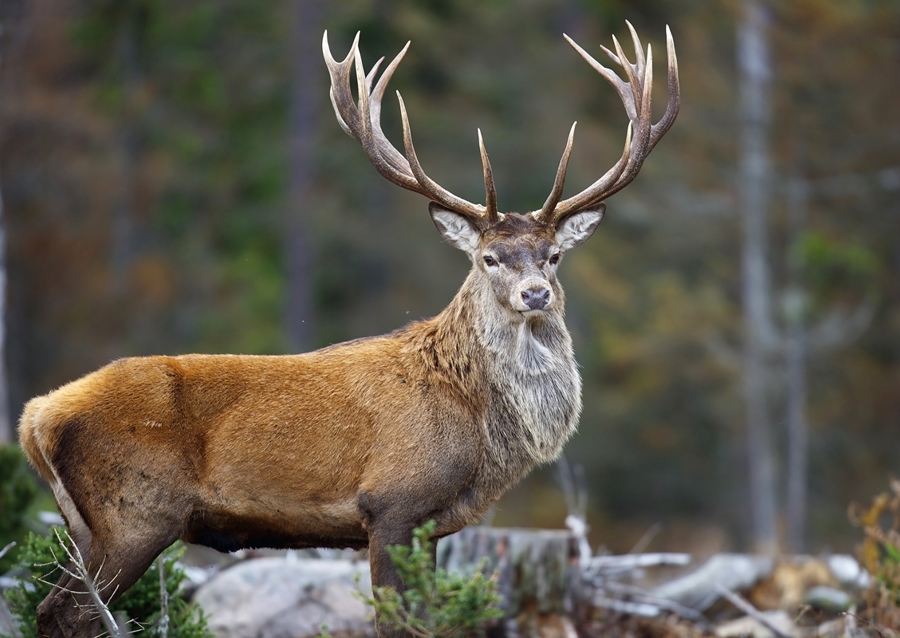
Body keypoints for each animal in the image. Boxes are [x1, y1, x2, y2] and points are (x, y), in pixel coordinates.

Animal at [18, 23, 678, 638]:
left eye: (553, 256)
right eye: (489, 258)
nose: (534, 293)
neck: (478, 424)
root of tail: (34, 419)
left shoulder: (430, 527)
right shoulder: (392, 504)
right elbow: (395, 623)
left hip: (89, 525)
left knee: (55, 609)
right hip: (133, 513)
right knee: (65, 612)